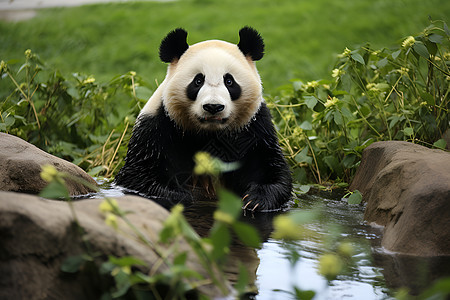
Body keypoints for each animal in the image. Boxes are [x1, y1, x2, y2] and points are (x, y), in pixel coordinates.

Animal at [114, 27, 294, 212]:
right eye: (198, 81)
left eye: (229, 81)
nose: (213, 106)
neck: (208, 133)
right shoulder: (156, 127)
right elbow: (138, 175)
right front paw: (181, 195)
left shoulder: (255, 128)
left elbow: (270, 169)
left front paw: (255, 200)